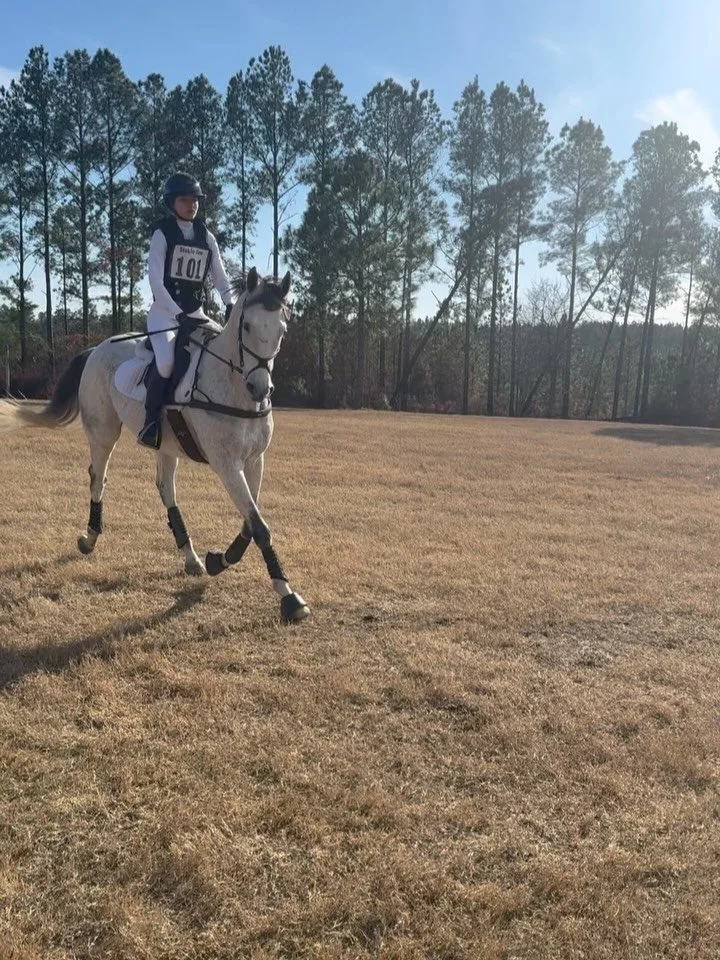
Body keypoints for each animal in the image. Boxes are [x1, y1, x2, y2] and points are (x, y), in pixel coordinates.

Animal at [0, 267, 309, 623]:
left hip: (167, 445)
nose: (260, 389)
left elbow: (250, 521)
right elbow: (258, 526)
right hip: (104, 433)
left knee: (165, 488)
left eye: (282, 330)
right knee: (98, 478)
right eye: (247, 326)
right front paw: (288, 596)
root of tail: (96, 349)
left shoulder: (254, 460)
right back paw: (89, 538)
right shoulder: (227, 464)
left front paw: (219, 559)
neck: (233, 386)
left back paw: (190, 556)